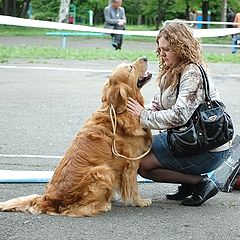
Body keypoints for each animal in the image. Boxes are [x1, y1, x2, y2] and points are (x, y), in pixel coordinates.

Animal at [0, 56, 153, 218]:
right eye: (130, 67)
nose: (145, 57)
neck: (119, 112)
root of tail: (47, 199)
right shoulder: (132, 163)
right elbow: (133, 187)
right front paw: (140, 202)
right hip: (103, 171)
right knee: (73, 210)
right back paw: (103, 205)